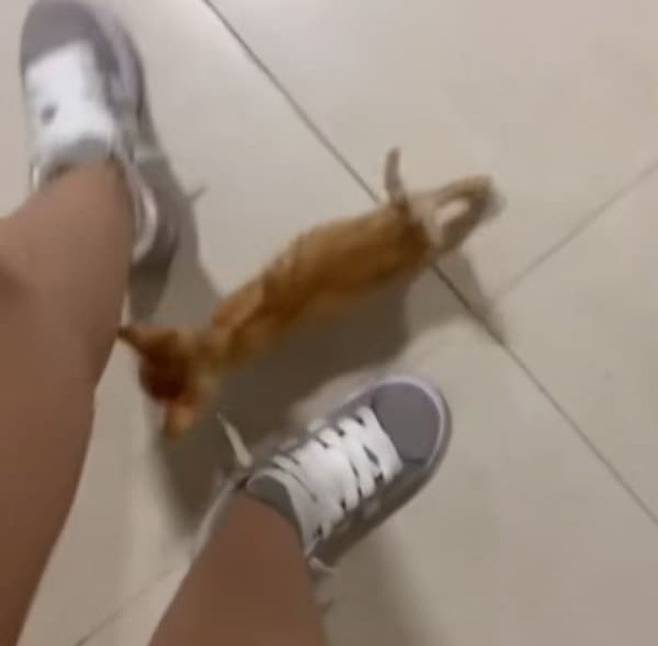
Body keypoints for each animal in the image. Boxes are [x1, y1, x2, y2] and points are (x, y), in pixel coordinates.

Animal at [119, 150, 493, 439]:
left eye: (147, 386)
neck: (220, 339)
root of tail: (408, 228)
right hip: (418, 207)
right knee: (444, 193)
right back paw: (481, 188)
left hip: (425, 242)